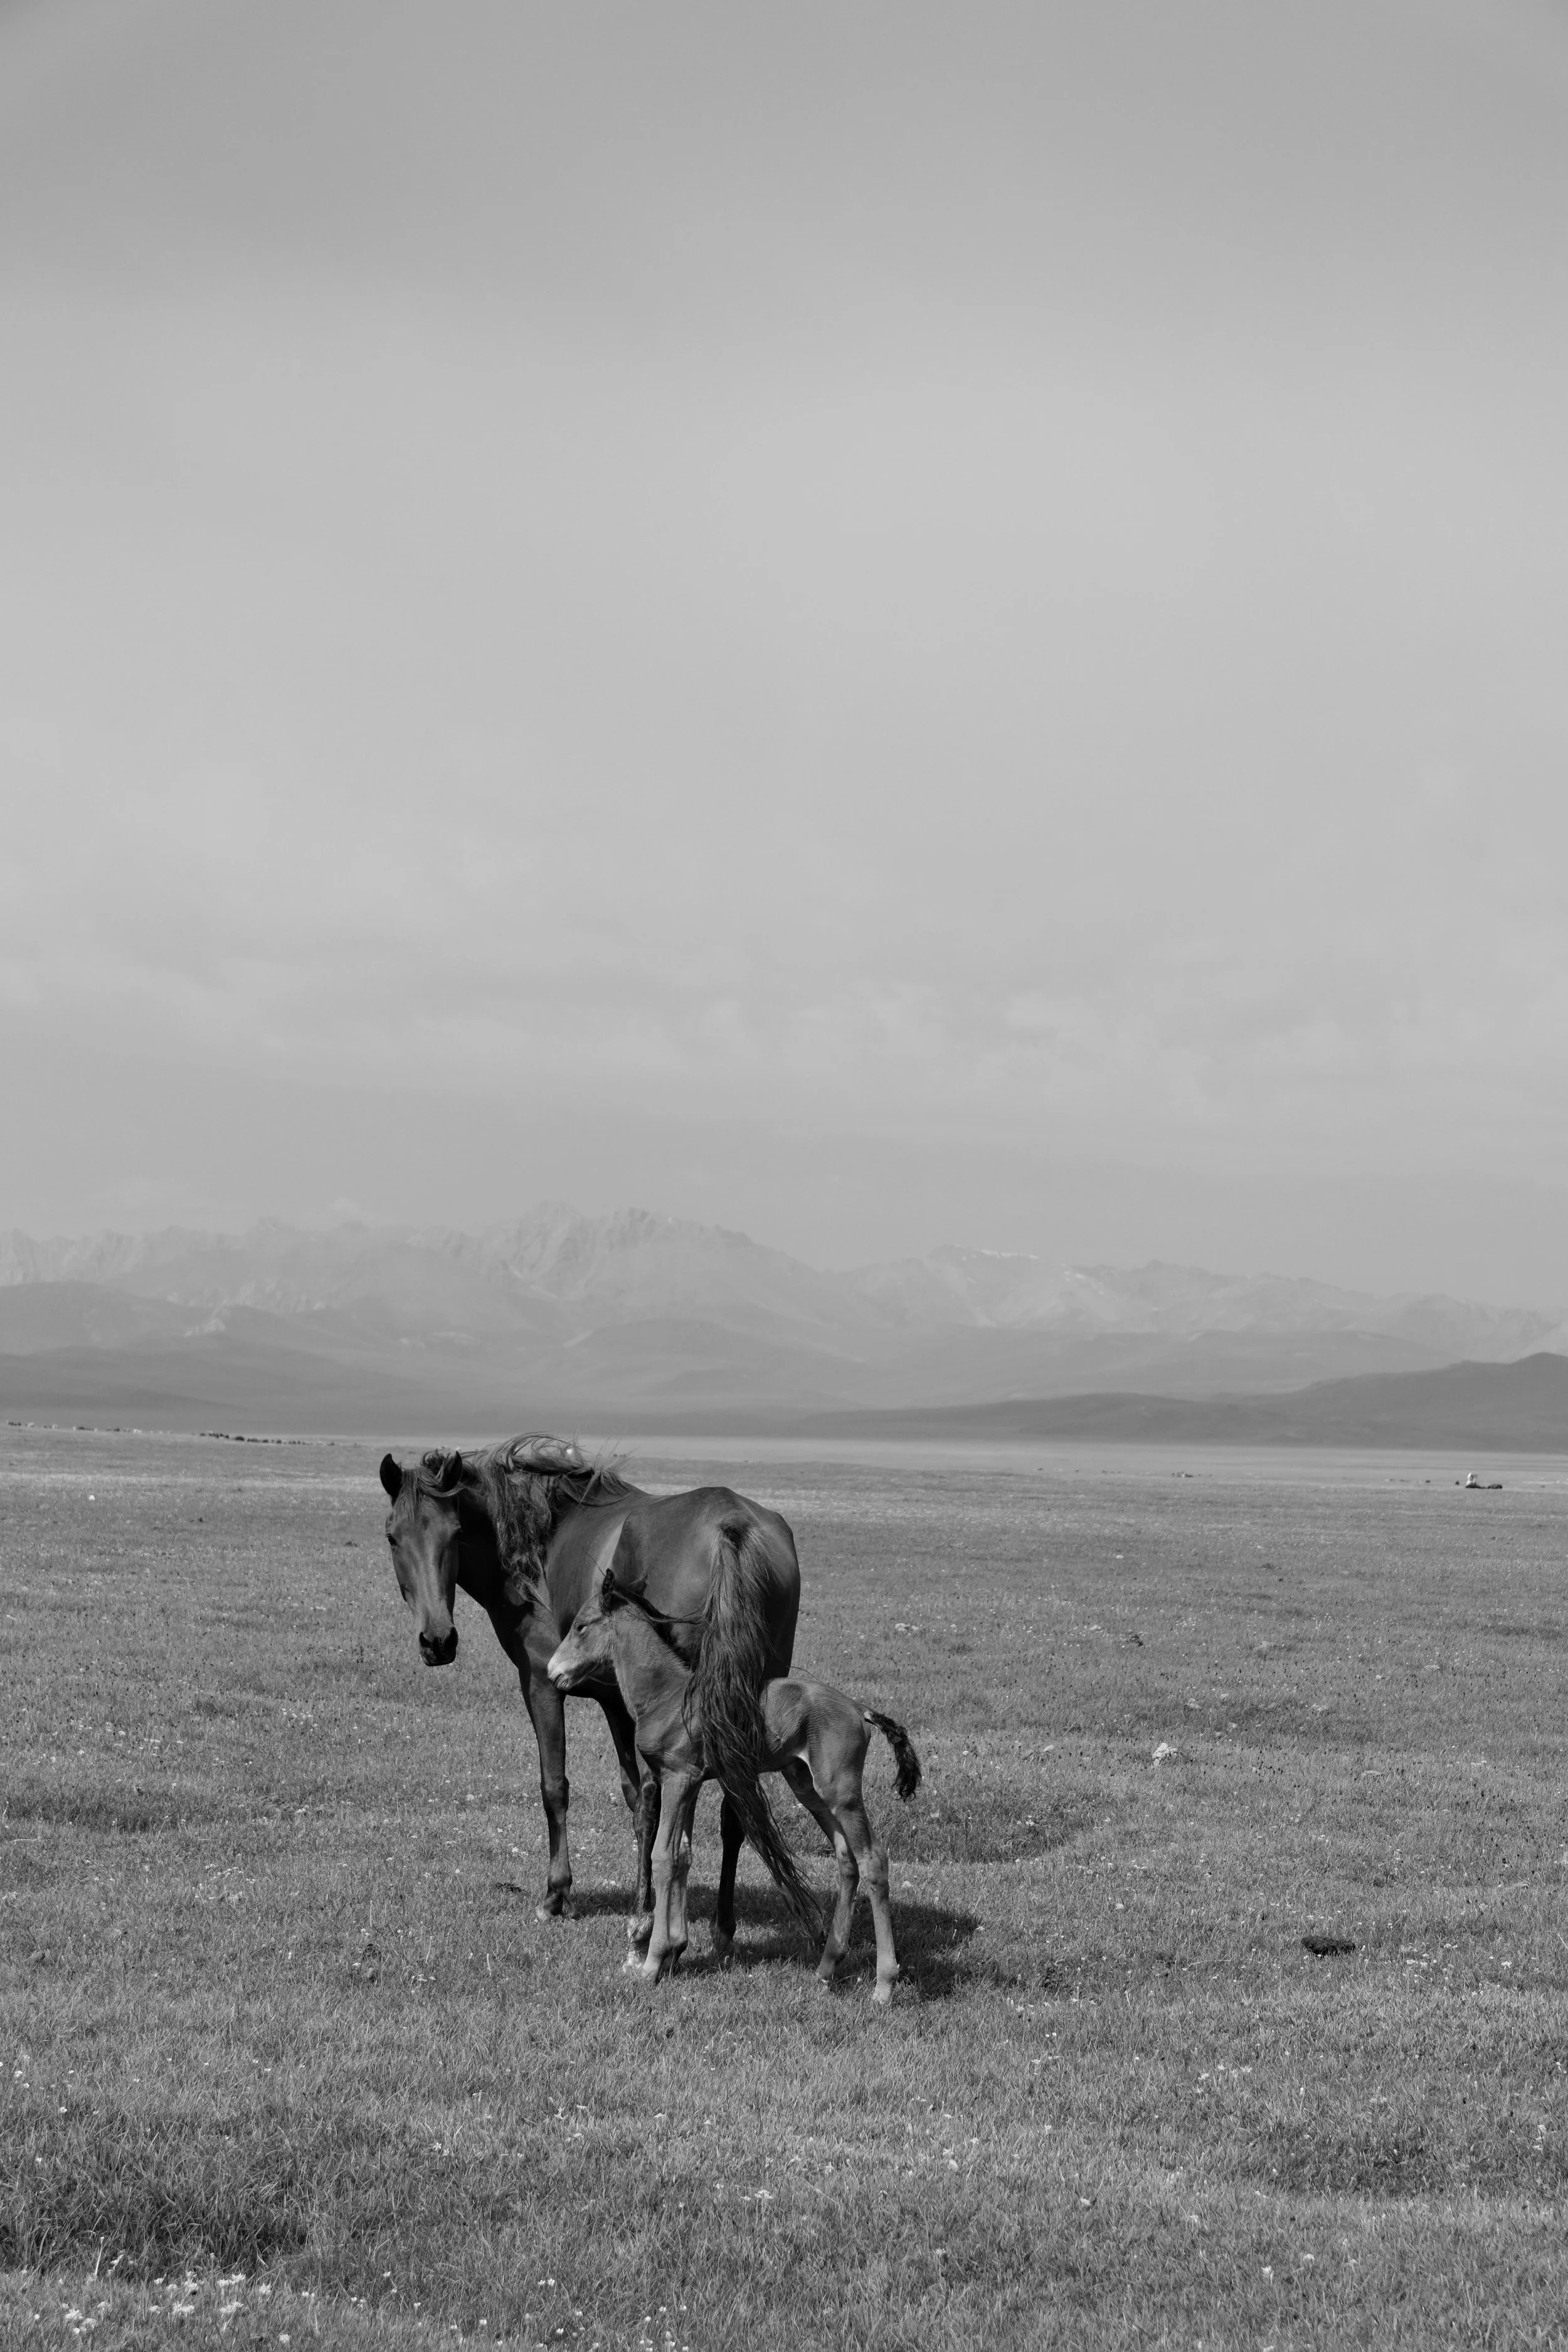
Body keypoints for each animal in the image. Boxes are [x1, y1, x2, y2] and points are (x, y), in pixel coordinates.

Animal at [377, 1437, 801, 1942]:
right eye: (394, 1537)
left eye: (455, 1533)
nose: (438, 1641)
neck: (540, 1543)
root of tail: (731, 1524)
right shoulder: (619, 1704)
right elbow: (637, 1799)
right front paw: (643, 1896)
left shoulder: (541, 1685)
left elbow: (556, 1787)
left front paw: (558, 1895)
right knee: (734, 1806)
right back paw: (722, 1923)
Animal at [547, 1564, 921, 2003]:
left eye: (580, 1626)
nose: (553, 1672)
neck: (667, 1695)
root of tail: (859, 1709)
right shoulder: (689, 1782)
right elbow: (683, 1855)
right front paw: (674, 1951)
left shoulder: (678, 1778)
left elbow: (662, 1856)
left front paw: (652, 1963)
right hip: (807, 1787)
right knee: (847, 1859)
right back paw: (826, 1968)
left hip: (840, 1791)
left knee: (873, 1860)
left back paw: (884, 1985)